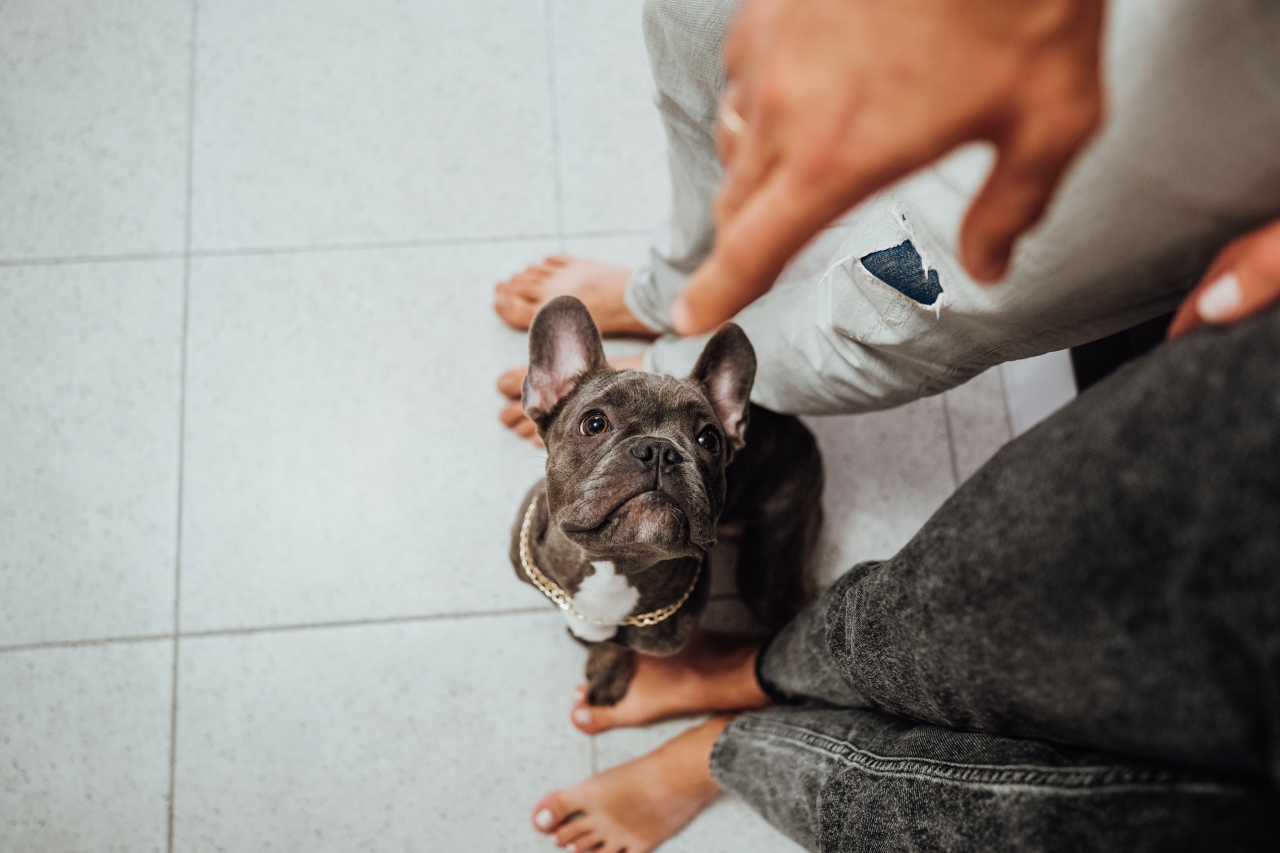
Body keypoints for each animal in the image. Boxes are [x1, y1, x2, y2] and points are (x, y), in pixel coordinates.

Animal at [506, 295, 819, 706]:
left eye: (709, 440)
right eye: (594, 423)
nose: (659, 450)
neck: (615, 563)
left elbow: (616, 644)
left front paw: (608, 666)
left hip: (765, 581)